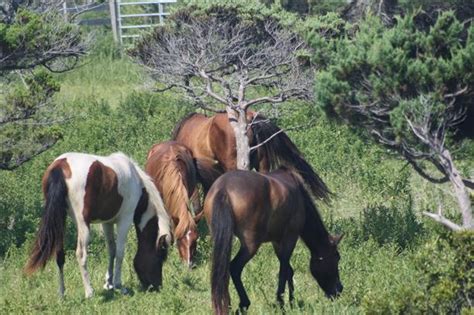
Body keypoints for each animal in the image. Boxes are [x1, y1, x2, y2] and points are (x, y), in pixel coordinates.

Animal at [24, 153, 172, 298]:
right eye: (160, 258)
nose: (158, 286)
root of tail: (60, 166)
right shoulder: (125, 220)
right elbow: (120, 252)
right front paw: (118, 285)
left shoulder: (107, 223)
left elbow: (111, 250)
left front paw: (109, 284)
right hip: (83, 224)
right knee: (81, 254)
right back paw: (89, 292)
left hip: (60, 221)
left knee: (59, 255)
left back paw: (62, 293)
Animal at [202, 168, 342, 314]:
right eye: (337, 258)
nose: (339, 289)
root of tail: (223, 189)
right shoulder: (290, 238)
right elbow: (283, 271)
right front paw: (282, 303)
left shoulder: (277, 242)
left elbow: (288, 271)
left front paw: (291, 302)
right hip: (250, 246)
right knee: (234, 268)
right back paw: (243, 304)